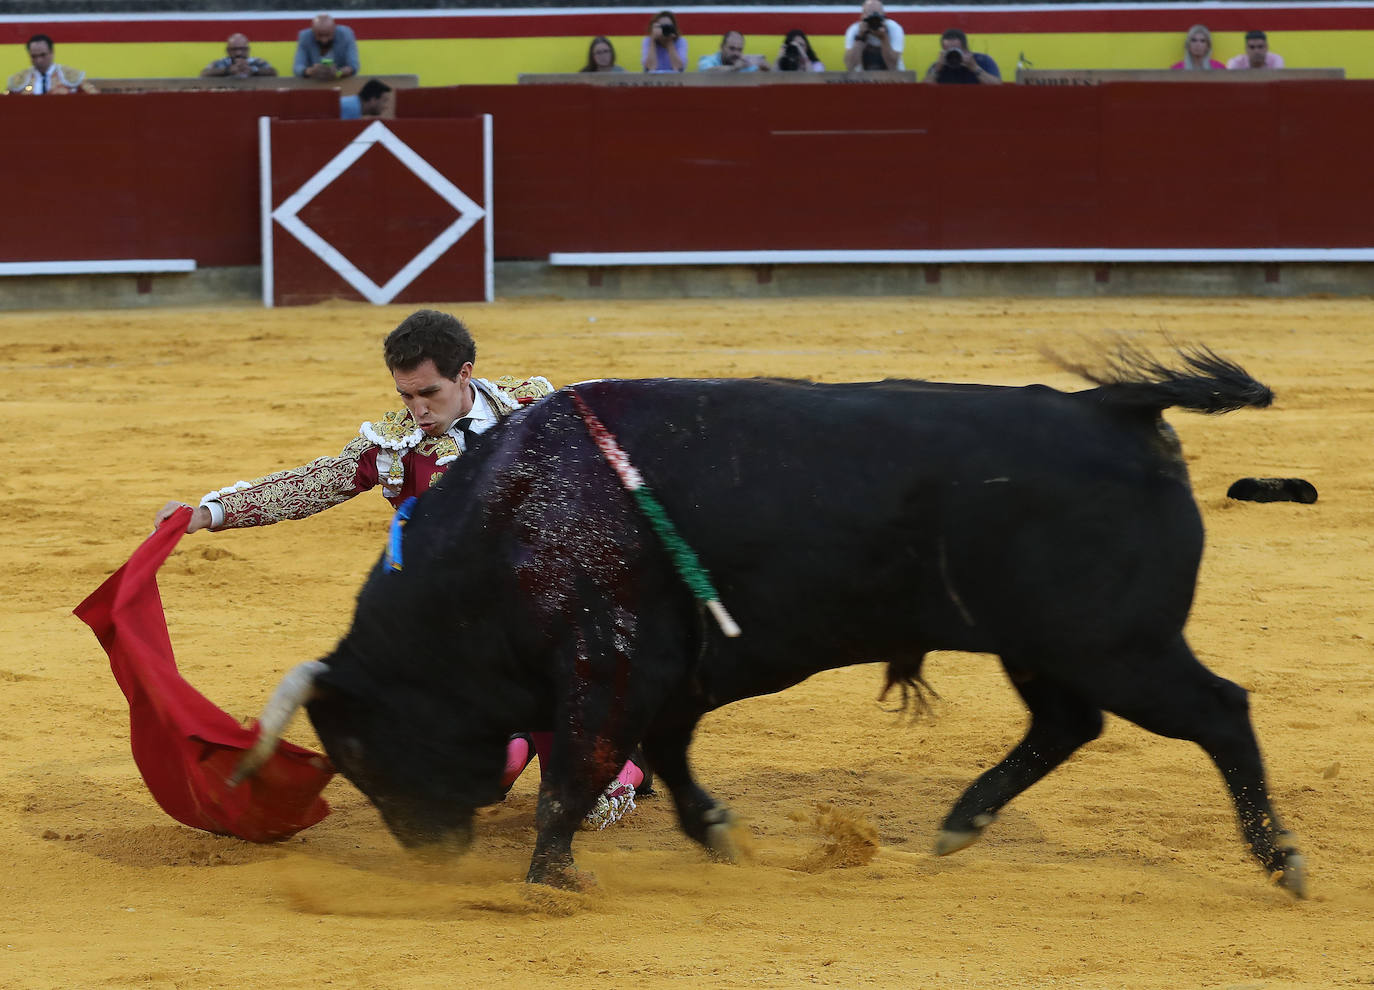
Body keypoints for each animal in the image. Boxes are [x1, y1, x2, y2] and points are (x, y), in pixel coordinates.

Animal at [239, 350, 1308, 895]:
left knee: (1219, 711)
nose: (430, 850)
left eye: (362, 750)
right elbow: (663, 760)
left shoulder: (606, 666)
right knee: (1066, 723)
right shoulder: (663, 677)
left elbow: (578, 770)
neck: (506, 526)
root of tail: (1114, 412)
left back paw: (1281, 859)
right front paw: (714, 832)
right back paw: (959, 825)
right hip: (1047, 647)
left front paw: (552, 877)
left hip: (1118, 643)